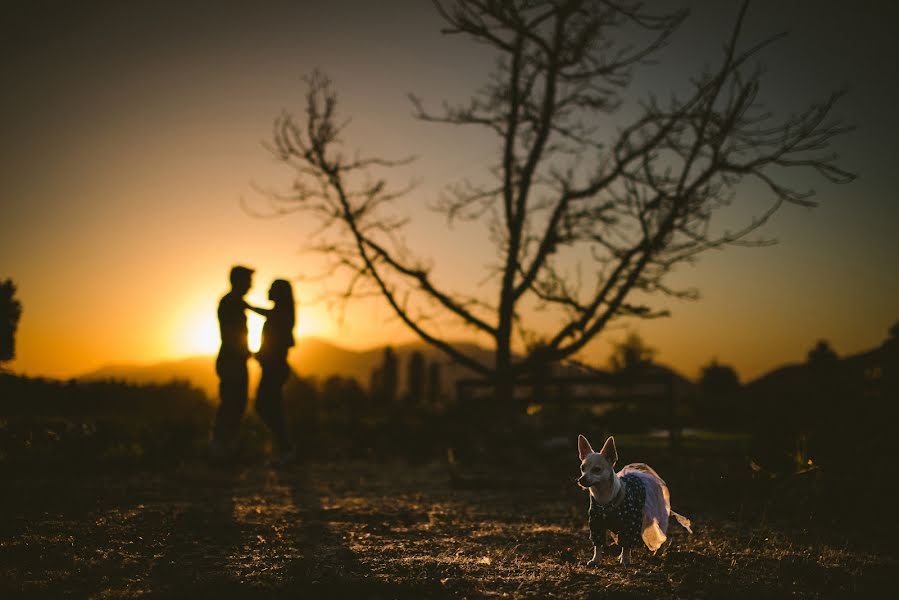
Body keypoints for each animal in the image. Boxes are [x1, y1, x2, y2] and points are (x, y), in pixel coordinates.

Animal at [576, 434, 696, 564]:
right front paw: (596, 560)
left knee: (662, 535)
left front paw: (625, 560)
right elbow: (598, 545)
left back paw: (658, 552)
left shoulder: (630, 525)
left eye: (597, 469)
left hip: (660, 517)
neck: (605, 499)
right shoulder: (596, 525)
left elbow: (627, 544)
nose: (581, 479)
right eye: (582, 468)